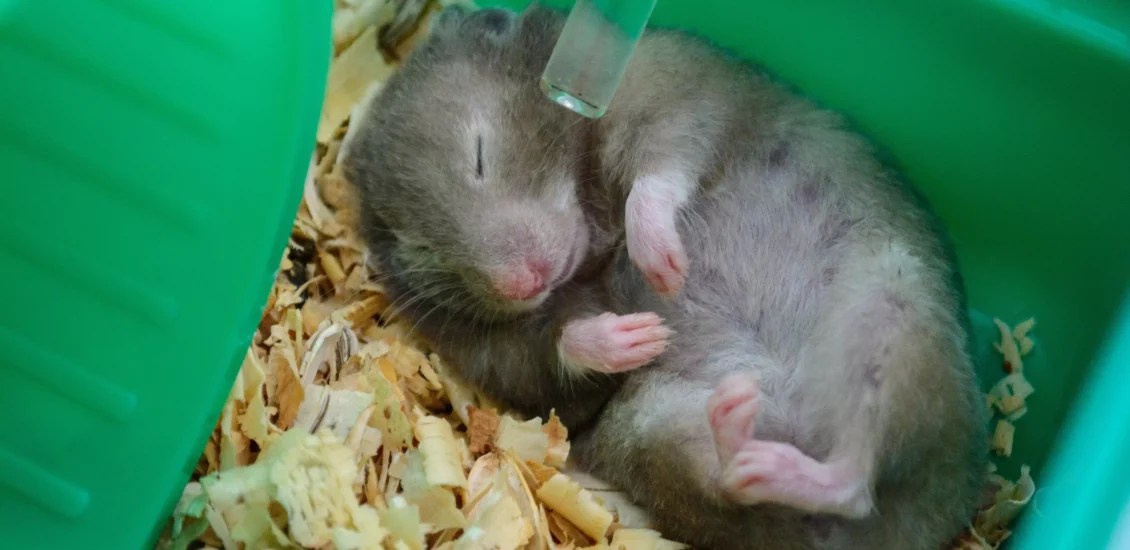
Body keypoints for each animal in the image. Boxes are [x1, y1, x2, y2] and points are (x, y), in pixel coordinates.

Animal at [339, 5, 673, 432]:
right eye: (422, 249)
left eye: (479, 155)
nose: (526, 283)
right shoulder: (480, 346)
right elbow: (541, 357)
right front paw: (643, 336)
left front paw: (664, 276)